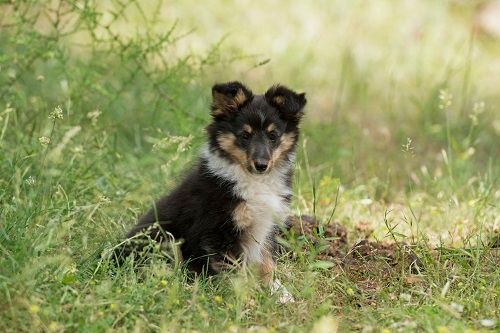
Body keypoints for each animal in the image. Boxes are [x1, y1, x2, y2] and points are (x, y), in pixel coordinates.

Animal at [117, 81, 304, 282]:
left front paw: (275, 289)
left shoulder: (269, 227)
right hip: (165, 240)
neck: (254, 180)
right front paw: (243, 291)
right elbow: (234, 271)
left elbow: (267, 262)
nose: (261, 165)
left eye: (273, 135)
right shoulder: (221, 229)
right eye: (244, 135)